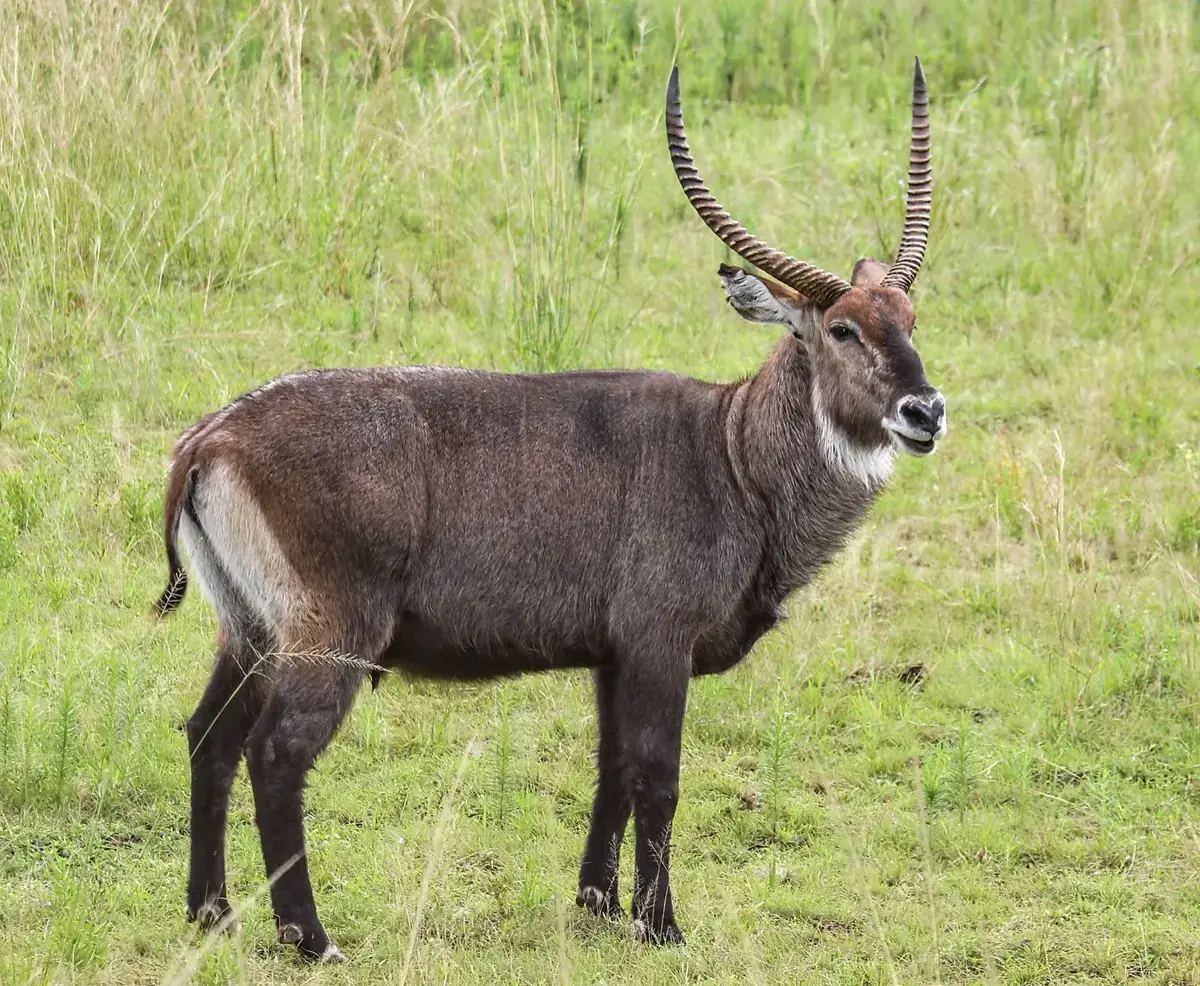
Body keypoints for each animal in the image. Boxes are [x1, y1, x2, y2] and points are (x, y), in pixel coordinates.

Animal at [156, 58, 943, 959]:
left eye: (911, 319)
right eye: (843, 329)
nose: (926, 411)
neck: (733, 453)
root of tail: (210, 437)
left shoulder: (613, 654)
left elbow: (612, 769)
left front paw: (596, 899)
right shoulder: (659, 641)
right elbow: (659, 776)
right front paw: (661, 924)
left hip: (247, 628)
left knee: (209, 737)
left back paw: (211, 911)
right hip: (328, 633)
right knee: (277, 751)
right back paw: (310, 937)